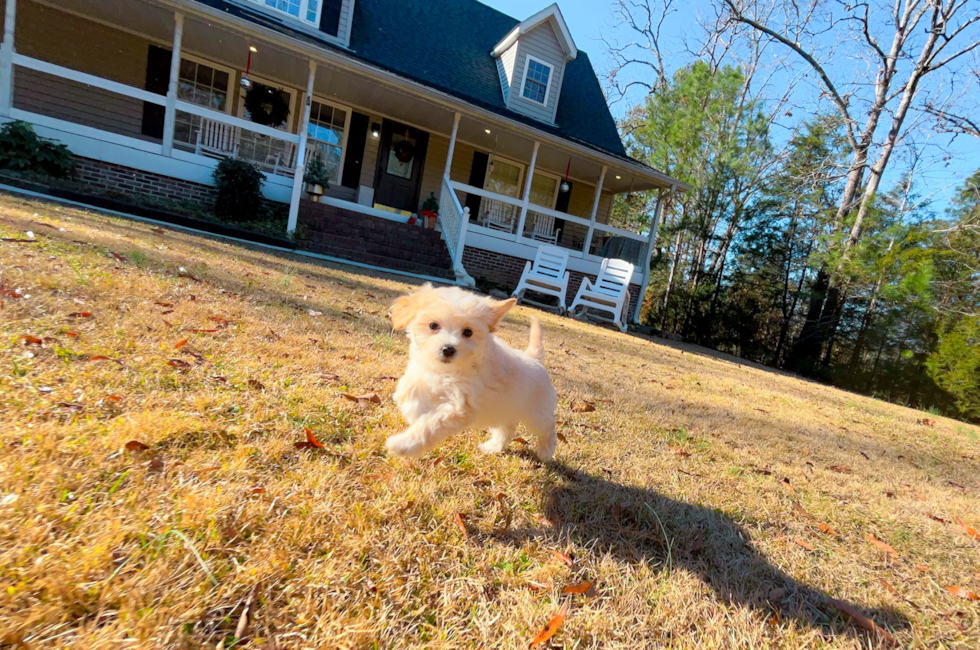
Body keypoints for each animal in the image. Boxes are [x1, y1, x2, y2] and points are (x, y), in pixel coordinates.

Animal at [388, 284, 560, 460]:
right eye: (433, 325)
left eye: (468, 332)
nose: (448, 349)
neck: (447, 371)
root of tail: (533, 358)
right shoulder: (422, 374)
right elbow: (410, 388)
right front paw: (412, 409)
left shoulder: (460, 407)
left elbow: (432, 423)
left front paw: (404, 444)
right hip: (505, 409)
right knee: (506, 428)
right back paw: (494, 447)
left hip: (536, 413)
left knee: (547, 430)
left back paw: (545, 453)